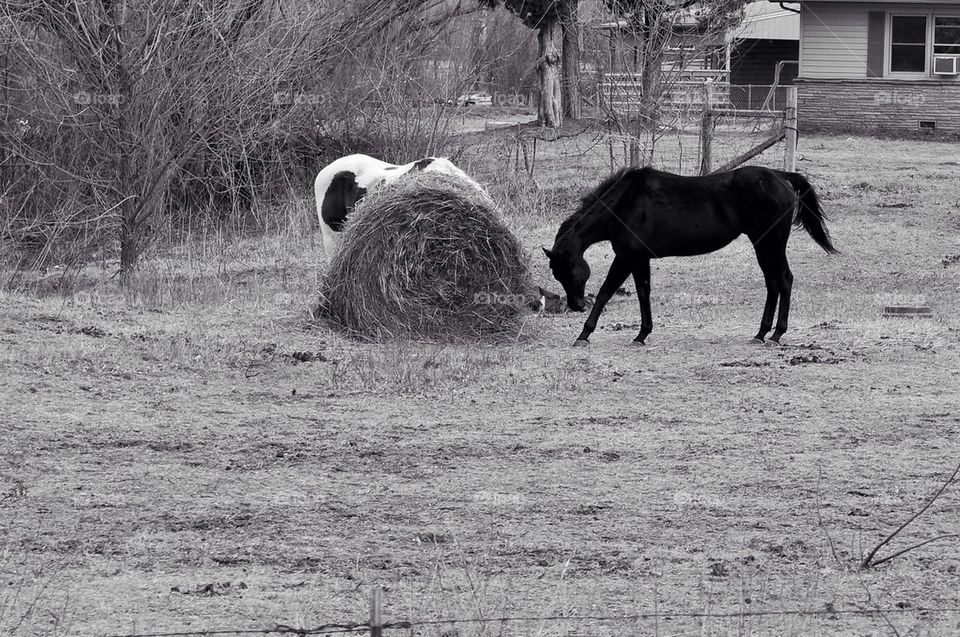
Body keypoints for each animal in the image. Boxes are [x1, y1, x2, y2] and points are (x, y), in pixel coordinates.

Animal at [543, 166, 838, 347]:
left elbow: (606, 291)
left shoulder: (626, 257)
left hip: (769, 244)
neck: (625, 204)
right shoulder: (639, 259)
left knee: (783, 280)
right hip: (764, 245)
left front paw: (584, 334)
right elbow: (643, 293)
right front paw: (642, 334)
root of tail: (779, 175)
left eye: (568, 268)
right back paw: (762, 333)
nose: (576, 305)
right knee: (773, 283)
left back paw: (775, 334)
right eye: (557, 274)